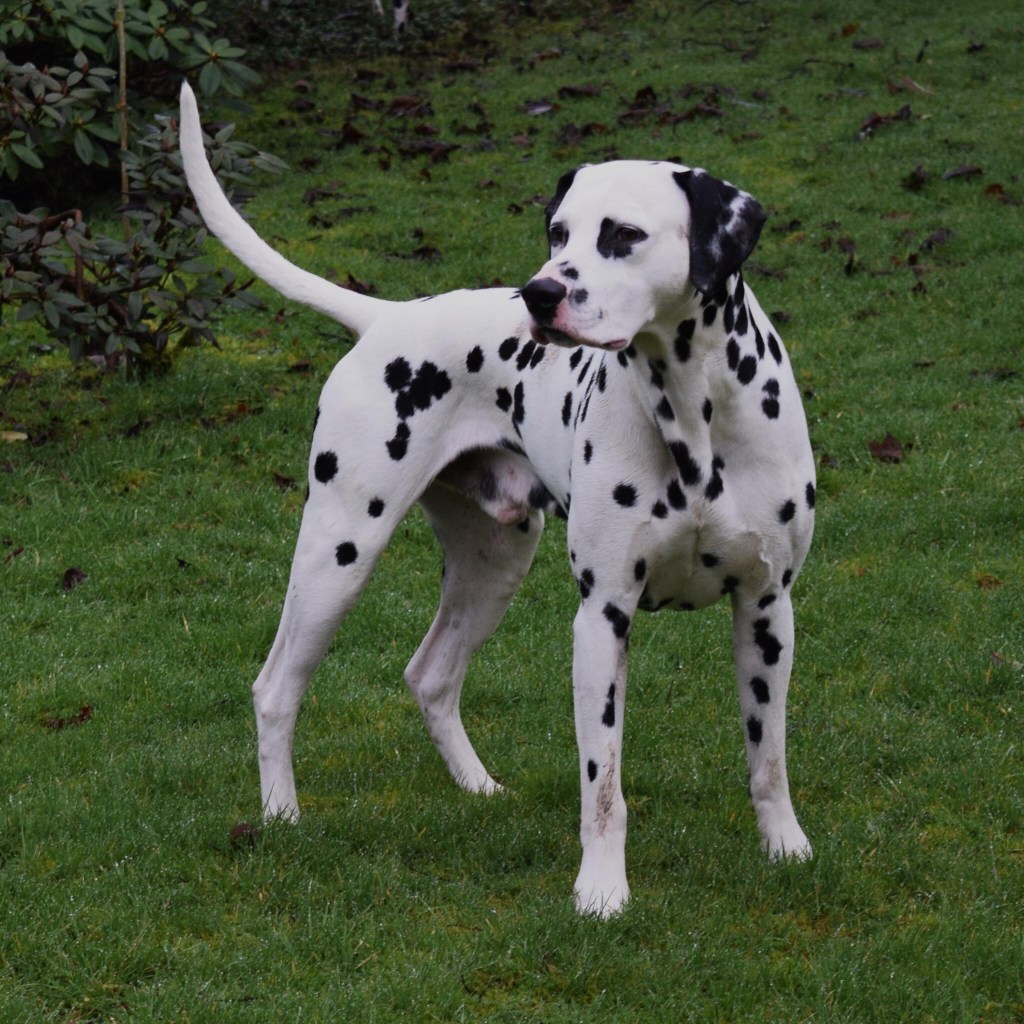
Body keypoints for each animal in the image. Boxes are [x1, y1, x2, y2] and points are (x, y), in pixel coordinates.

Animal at [179, 81, 815, 917]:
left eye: (623, 234)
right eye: (559, 231)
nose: (540, 293)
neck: (693, 415)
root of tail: (389, 316)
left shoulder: (767, 608)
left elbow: (768, 756)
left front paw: (786, 849)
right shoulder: (602, 618)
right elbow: (602, 782)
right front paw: (601, 889)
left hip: (493, 566)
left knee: (431, 674)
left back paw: (477, 787)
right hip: (337, 556)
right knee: (276, 687)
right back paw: (282, 814)